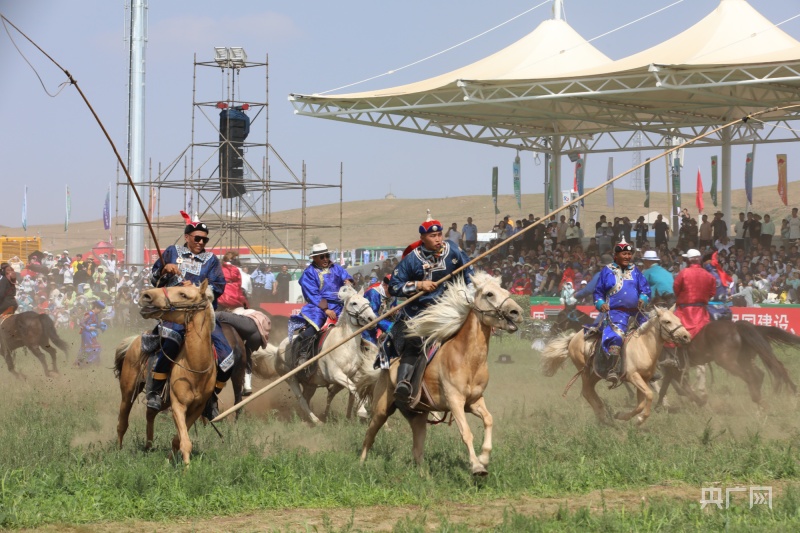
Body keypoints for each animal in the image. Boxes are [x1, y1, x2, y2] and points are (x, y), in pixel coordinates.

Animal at [112, 280, 244, 464]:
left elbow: (179, 438)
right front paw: (186, 467)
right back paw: (118, 451)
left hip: (162, 400)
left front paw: (170, 460)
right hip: (129, 390)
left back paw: (148, 446)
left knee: (150, 413)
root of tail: (136, 340)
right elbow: (185, 441)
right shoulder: (178, 405)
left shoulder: (197, 409)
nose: (146, 296)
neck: (195, 369)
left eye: (183, 294)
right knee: (122, 421)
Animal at [253, 284, 378, 426]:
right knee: (301, 399)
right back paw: (316, 420)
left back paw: (306, 419)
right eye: (354, 303)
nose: (372, 319)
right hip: (290, 379)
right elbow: (352, 388)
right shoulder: (335, 375)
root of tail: (278, 350)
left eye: (367, 302)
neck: (343, 344)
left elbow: (354, 389)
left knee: (306, 398)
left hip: (310, 384)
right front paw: (362, 412)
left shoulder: (352, 375)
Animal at [358, 272, 524, 476]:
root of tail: (386, 365)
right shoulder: (455, 401)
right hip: (382, 409)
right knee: (369, 435)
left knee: (417, 449)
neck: (467, 359)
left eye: (506, 292)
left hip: (418, 415)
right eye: (489, 294)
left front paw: (484, 458)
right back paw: (360, 463)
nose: (516, 312)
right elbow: (466, 432)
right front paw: (477, 466)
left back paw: (424, 476)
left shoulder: (474, 401)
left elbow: (489, 420)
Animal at [544, 306, 692, 426]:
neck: (643, 346)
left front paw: (623, 416)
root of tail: (574, 337)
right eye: (667, 321)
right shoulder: (633, 376)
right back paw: (603, 416)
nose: (686, 336)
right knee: (586, 391)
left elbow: (641, 403)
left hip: (596, 373)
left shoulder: (644, 379)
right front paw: (640, 419)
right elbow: (649, 395)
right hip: (585, 370)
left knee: (590, 390)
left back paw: (604, 413)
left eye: (678, 319)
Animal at [656, 318, 800, 410]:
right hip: (744, 359)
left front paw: (700, 401)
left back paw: (759, 400)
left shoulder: (674, 370)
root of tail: (736, 326)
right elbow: (664, 389)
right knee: (759, 375)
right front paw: (658, 407)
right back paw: (760, 403)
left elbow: (682, 389)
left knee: (752, 377)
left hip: (727, 361)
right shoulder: (670, 371)